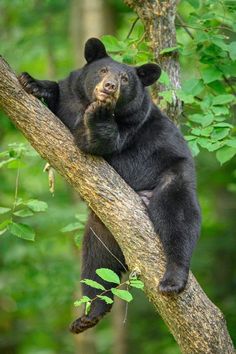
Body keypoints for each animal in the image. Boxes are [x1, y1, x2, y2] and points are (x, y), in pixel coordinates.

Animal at [18, 37, 201, 334]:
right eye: (103, 70)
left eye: (125, 78)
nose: (109, 86)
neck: (85, 105)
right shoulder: (70, 99)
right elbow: (58, 93)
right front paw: (32, 82)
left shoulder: (131, 125)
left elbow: (98, 141)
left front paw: (99, 119)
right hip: (102, 227)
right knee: (96, 263)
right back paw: (89, 315)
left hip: (173, 178)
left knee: (179, 220)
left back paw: (173, 278)